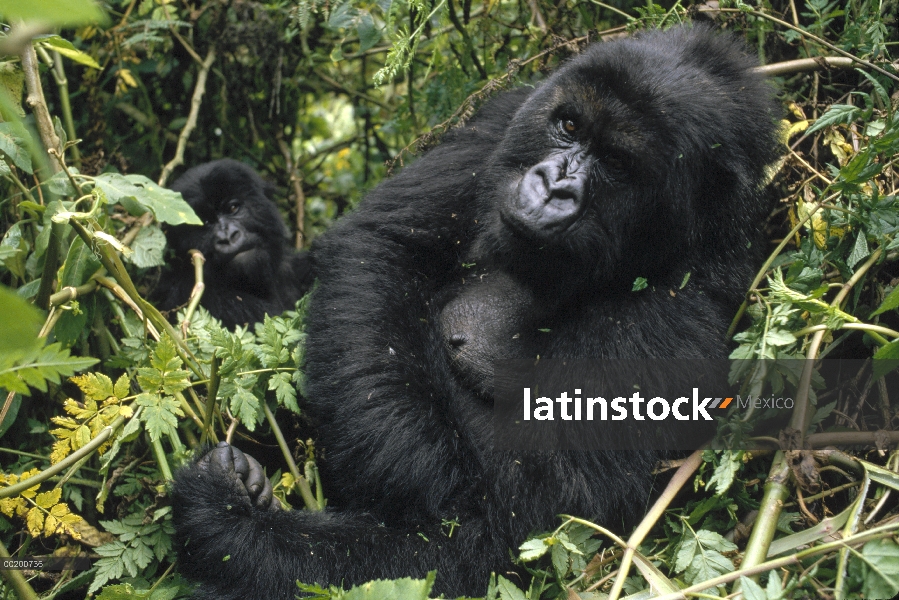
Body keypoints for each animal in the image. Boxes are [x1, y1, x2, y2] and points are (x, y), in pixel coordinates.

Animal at [172, 25, 784, 596]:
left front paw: (236, 526)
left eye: (617, 161)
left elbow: (512, 521)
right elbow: (381, 250)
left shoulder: (680, 314)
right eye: (569, 126)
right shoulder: (503, 120)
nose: (552, 186)